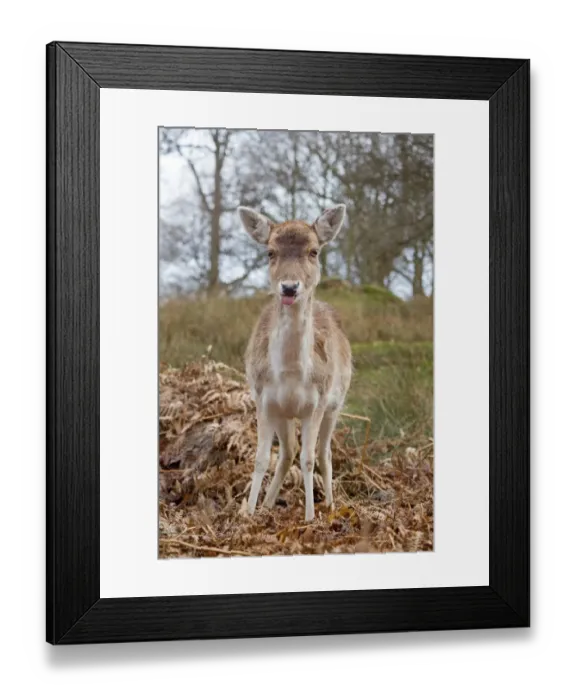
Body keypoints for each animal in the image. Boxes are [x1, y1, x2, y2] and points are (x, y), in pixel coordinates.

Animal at [237, 204, 352, 522]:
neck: (289, 373)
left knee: (324, 453)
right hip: (284, 414)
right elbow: (261, 458)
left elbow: (309, 459)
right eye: (270, 252)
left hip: (336, 404)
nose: (289, 287)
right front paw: (248, 514)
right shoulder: (263, 399)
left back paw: (331, 506)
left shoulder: (317, 402)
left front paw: (310, 517)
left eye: (314, 251)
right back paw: (267, 504)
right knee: (287, 452)